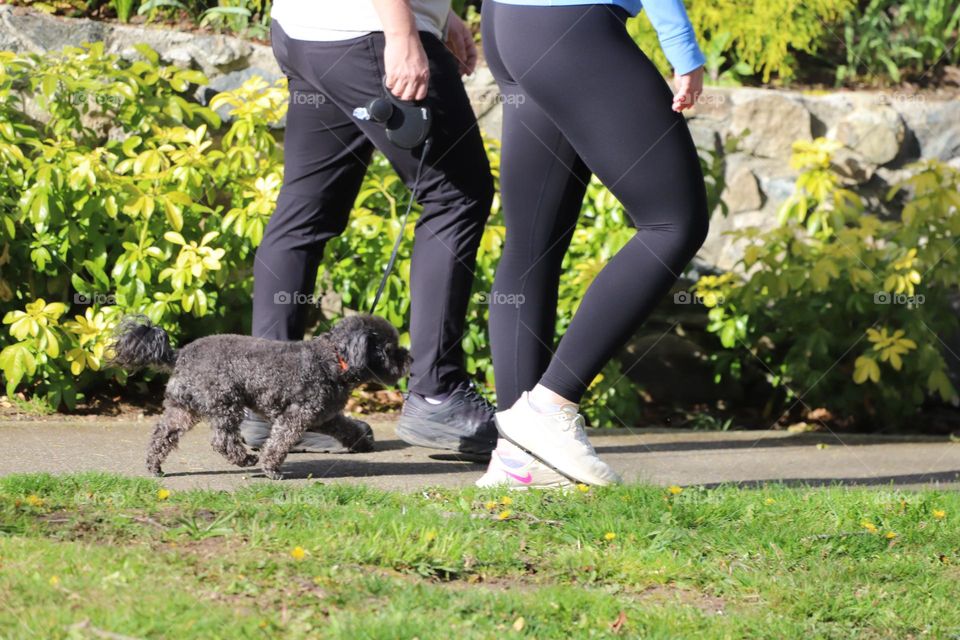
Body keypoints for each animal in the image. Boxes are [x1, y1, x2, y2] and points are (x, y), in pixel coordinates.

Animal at [109, 312, 408, 482]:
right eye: (388, 349)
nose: (408, 358)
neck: (333, 360)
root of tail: (180, 354)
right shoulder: (295, 416)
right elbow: (278, 444)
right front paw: (271, 468)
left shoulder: (325, 416)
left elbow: (346, 427)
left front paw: (362, 441)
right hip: (225, 402)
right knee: (222, 441)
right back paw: (246, 460)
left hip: (183, 409)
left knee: (162, 434)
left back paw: (154, 467)